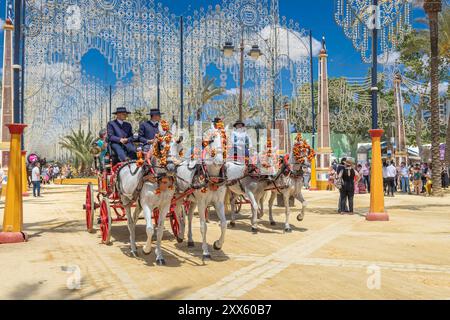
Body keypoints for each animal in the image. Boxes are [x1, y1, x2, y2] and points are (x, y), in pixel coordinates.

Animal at [174, 124, 227, 258]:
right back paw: (180, 235)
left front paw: (218, 244)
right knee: (178, 214)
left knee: (189, 217)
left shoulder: (219, 202)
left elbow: (224, 224)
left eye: (225, 141)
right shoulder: (202, 203)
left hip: (193, 201)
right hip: (179, 197)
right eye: (211, 140)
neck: (212, 177)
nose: (219, 161)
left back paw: (190, 240)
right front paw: (205, 251)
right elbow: (203, 226)